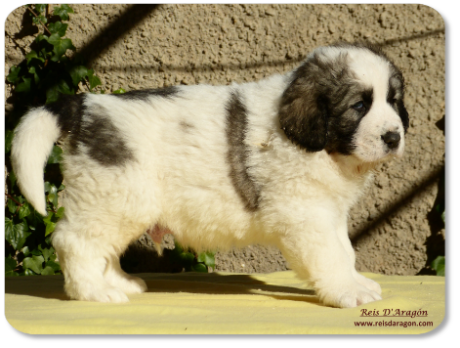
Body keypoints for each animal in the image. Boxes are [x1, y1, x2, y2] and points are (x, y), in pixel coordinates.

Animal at [10, 42, 408, 308]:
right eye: (359, 105)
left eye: (394, 100)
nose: (393, 137)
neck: (323, 146)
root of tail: (85, 106)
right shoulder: (307, 215)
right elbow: (332, 255)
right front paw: (348, 291)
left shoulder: (330, 211)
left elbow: (345, 250)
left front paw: (356, 281)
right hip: (114, 195)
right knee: (75, 241)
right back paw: (95, 291)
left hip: (116, 202)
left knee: (102, 247)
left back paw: (121, 282)